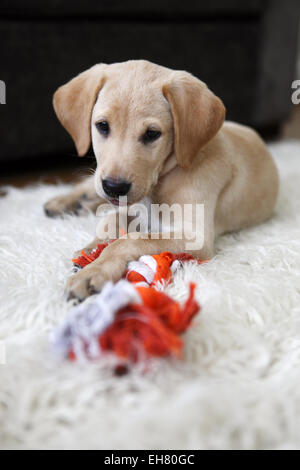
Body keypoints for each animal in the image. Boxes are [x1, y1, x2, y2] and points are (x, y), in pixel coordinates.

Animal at [45, 60, 278, 300]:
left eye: (152, 134)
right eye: (102, 125)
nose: (114, 187)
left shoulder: (196, 236)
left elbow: (131, 238)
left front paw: (94, 269)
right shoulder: (133, 206)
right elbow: (111, 220)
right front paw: (92, 249)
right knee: (89, 189)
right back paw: (64, 201)